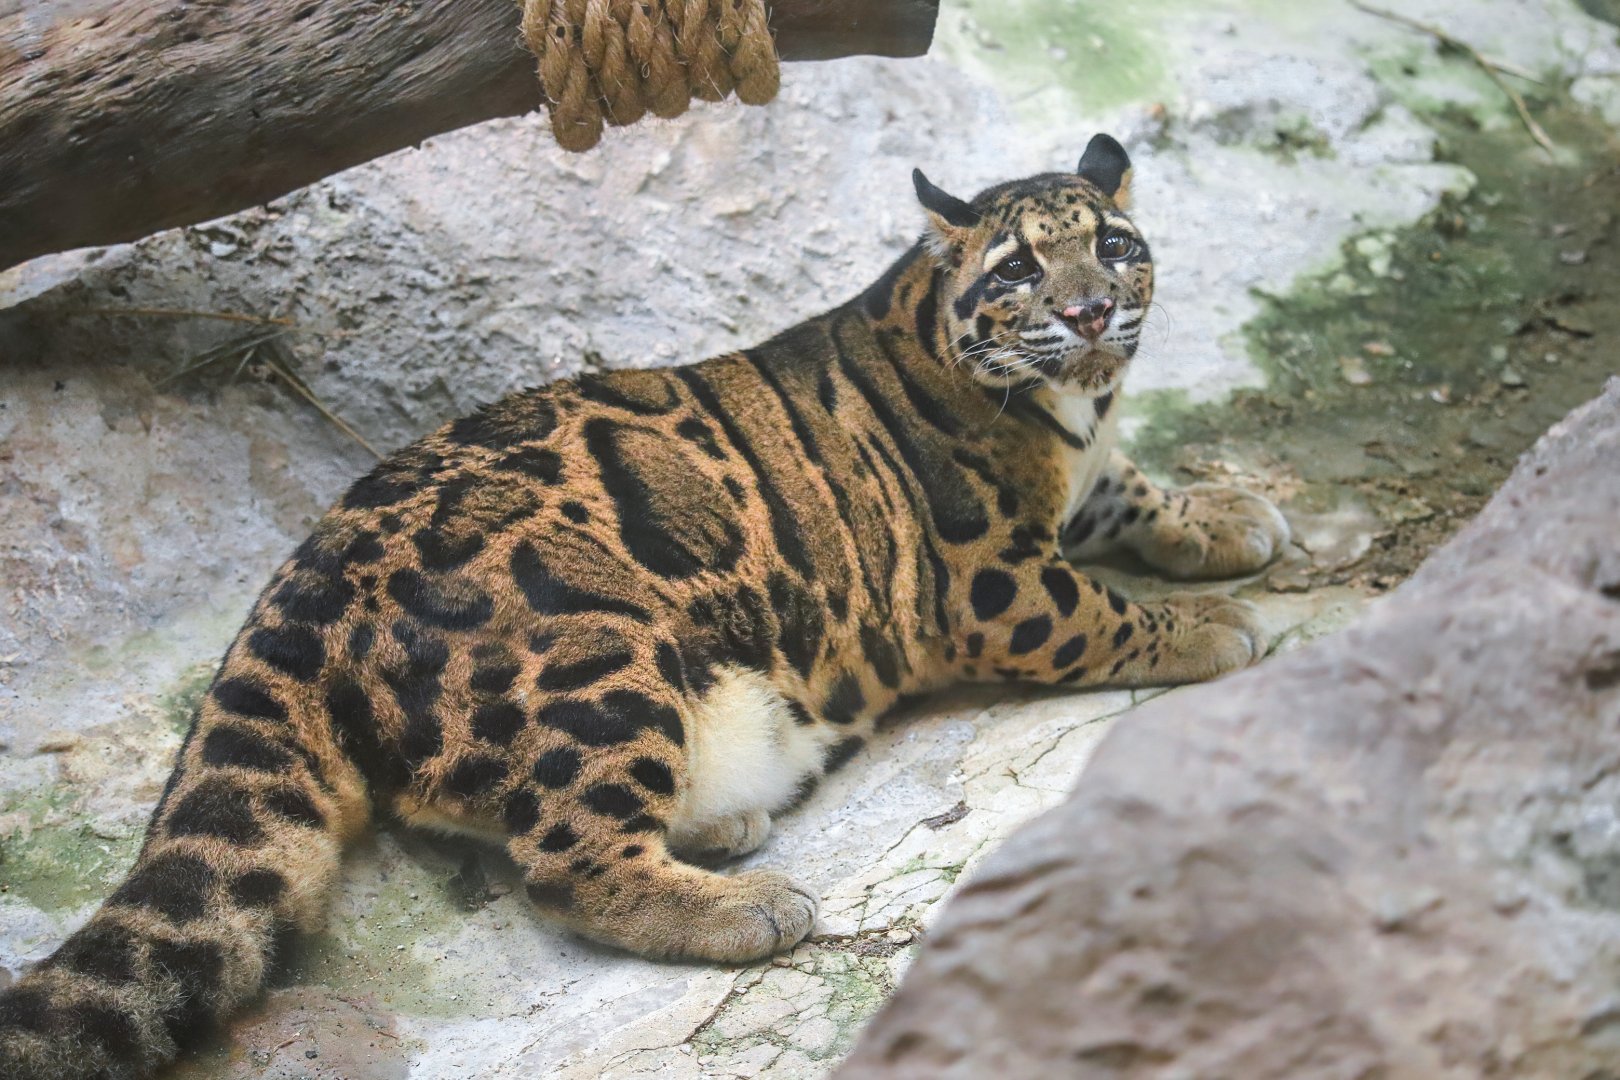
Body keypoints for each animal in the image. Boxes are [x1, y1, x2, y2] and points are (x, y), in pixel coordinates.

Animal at [0, 134, 1289, 1080]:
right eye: (1018, 269)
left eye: (1114, 245)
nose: (1088, 313)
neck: (1072, 406)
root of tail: (299, 576)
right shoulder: (988, 581)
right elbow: (1100, 610)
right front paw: (1210, 627)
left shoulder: (1087, 476)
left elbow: (1132, 493)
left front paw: (1227, 516)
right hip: (596, 646)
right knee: (560, 860)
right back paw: (748, 902)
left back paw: (719, 831)